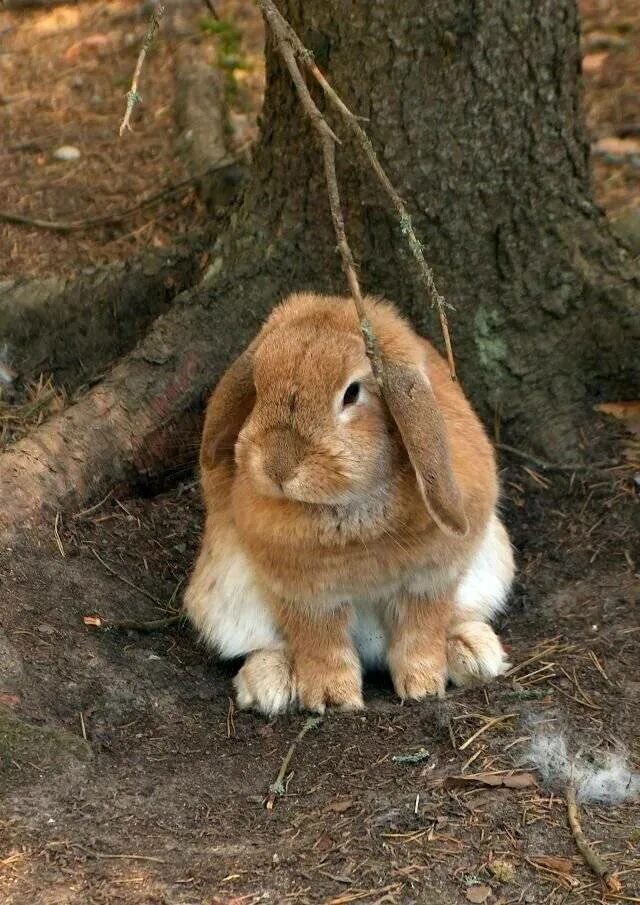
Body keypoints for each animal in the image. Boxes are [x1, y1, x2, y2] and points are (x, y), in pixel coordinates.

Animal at [185, 290, 516, 712]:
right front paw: (333, 699)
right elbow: (321, 645)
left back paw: (473, 655)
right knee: (263, 644)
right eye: (258, 387)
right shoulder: (308, 596)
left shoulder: (430, 581)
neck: (352, 511)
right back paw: (270, 684)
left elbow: (421, 633)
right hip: (225, 596)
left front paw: (424, 687)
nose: (278, 467)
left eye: (352, 393)